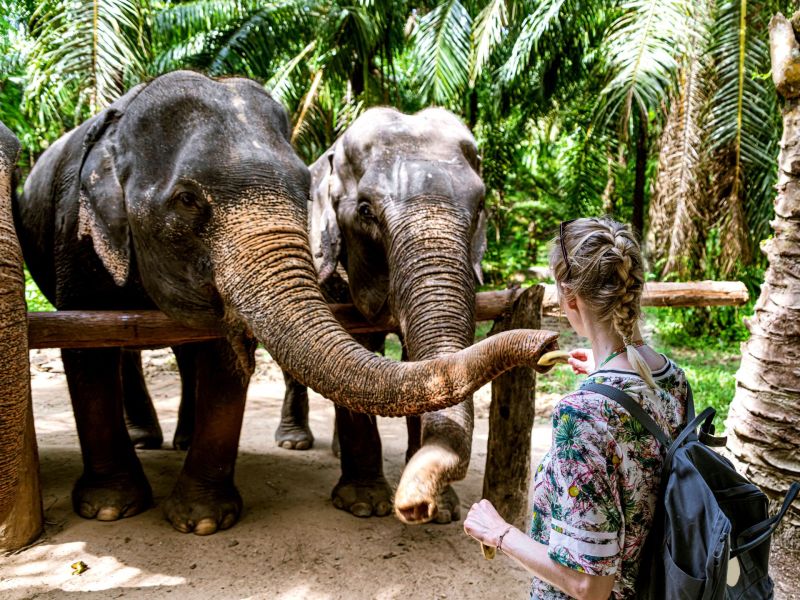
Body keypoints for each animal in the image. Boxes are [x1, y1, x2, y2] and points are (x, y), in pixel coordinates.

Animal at [14, 71, 564, 536]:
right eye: (367, 211)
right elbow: (88, 352)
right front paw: (124, 512)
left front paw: (441, 511)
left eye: (481, 206)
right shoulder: (75, 236)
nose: (550, 345)